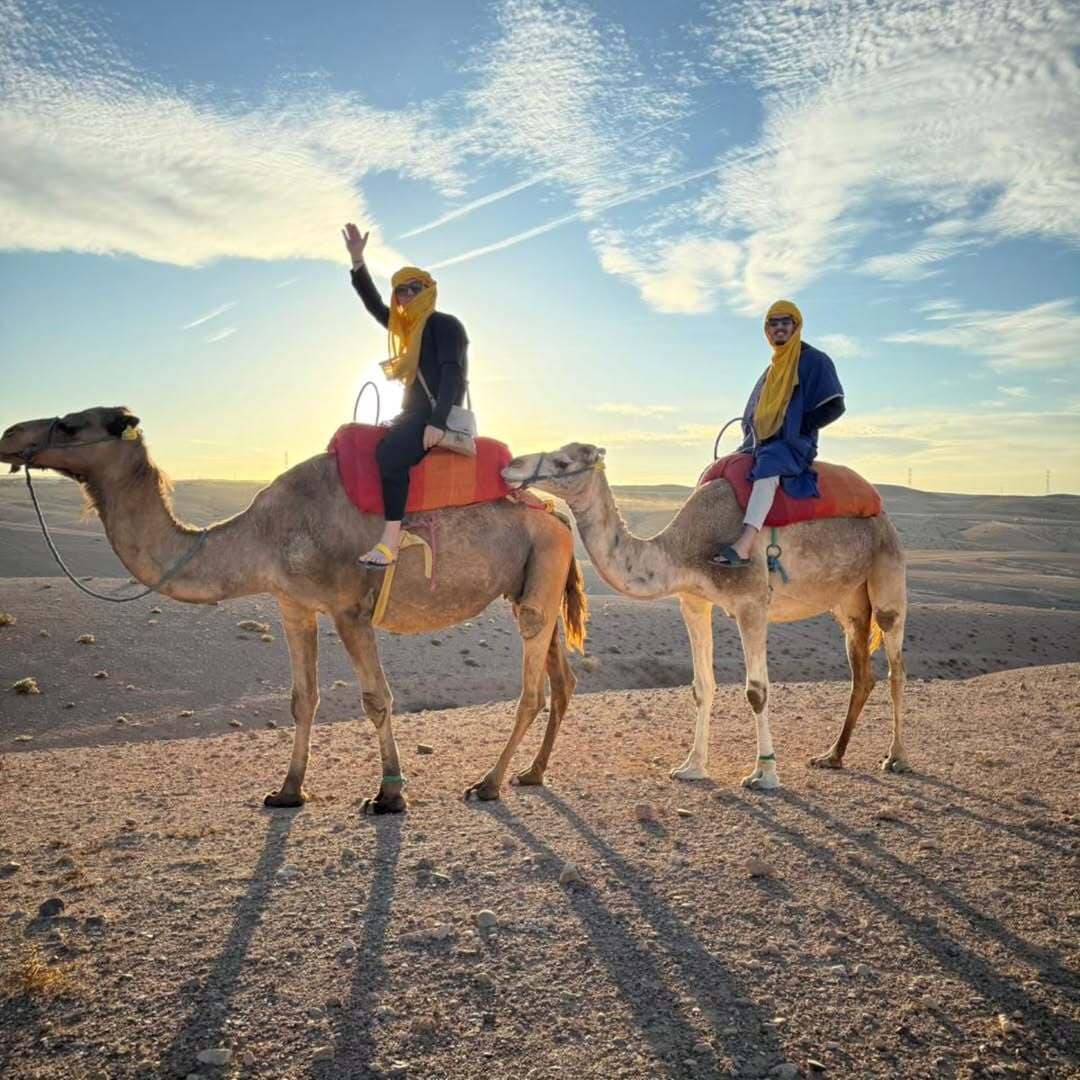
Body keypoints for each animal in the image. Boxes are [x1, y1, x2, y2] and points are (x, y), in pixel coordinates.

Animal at [0, 406, 588, 810]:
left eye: (71, 425)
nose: (10, 436)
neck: (263, 534)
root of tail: (559, 513)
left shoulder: (349, 608)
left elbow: (377, 699)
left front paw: (389, 796)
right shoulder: (292, 606)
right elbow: (302, 700)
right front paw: (287, 790)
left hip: (540, 573)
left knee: (534, 690)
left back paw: (488, 783)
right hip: (533, 586)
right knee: (561, 680)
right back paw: (532, 774)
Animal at [501, 443, 909, 789]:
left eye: (563, 462)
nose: (511, 465)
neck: (685, 549)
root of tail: (882, 513)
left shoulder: (751, 602)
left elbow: (756, 691)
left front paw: (764, 774)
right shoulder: (694, 601)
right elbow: (702, 686)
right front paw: (692, 767)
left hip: (887, 570)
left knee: (895, 663)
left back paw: (896, 758)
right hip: (849, 601)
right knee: (862, 671)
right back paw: (832, 756)